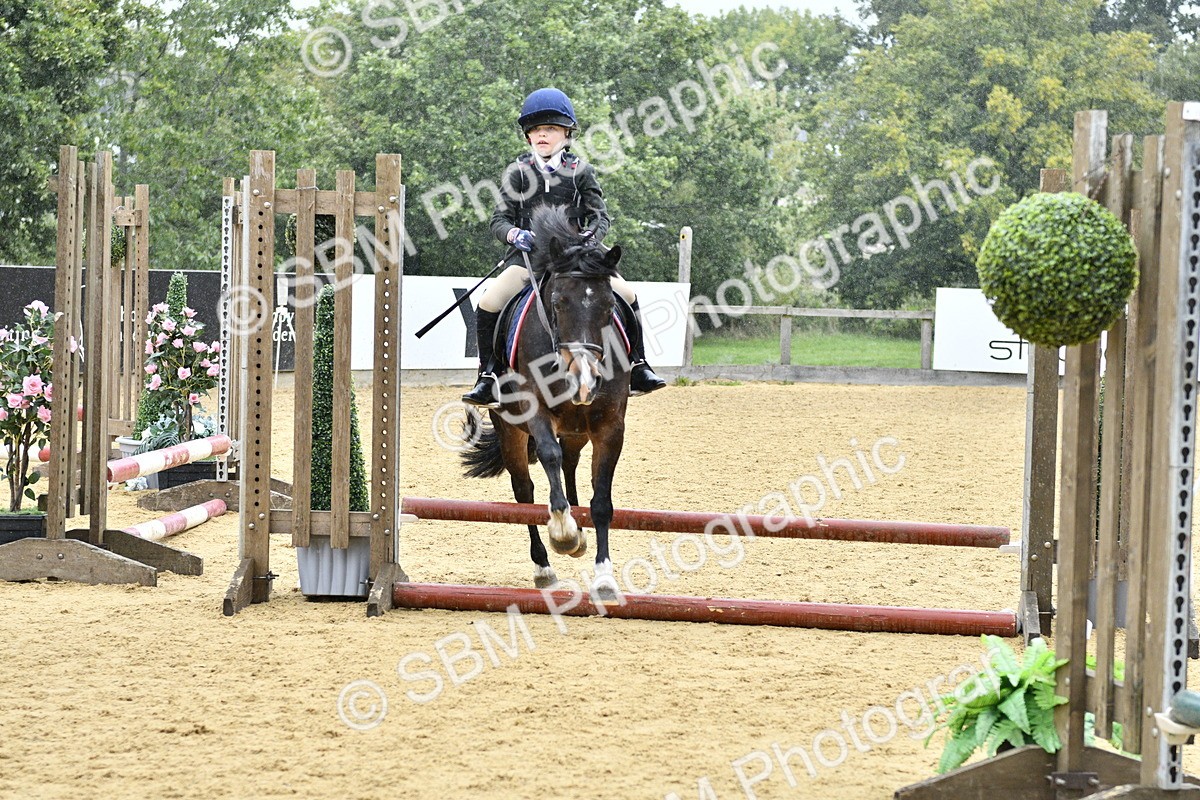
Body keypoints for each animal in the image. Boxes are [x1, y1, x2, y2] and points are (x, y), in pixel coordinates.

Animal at [461, 204, 631, 600]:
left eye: (609, 305)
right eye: (557, 302)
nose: (584, 379)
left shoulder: (609, 426)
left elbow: (602, 501)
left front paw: (604, 577)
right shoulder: (535, 412)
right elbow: (548, 457)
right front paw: (564, 533)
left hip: (577, 430)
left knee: (569, 466)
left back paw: (579, 531)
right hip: (511, 430)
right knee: (525, 491)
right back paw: (544, 566)